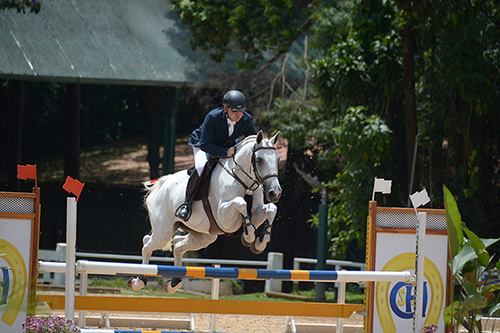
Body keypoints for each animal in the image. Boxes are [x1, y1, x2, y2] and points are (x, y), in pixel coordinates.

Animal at [129, 130, 282, 290]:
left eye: (277, 159)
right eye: (259, 160)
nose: (275, 193)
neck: (241, 178)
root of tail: (163, 183)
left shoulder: (256, 213)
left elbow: (271, 208)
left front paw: (260, 242)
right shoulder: (224, 218)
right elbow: (241, 203)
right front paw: (249, 238)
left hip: (205, 236)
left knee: (178, 245)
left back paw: (174, 283)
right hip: (163, 232)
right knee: (147, 244)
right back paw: (138, 281)